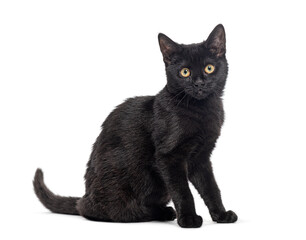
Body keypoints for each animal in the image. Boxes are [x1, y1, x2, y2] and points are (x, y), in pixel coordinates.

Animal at [34, 24, 238, 229]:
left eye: (209, 68)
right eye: (185, 72)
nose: (199, 83)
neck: (201, 110)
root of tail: (85, 196)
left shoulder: (201, 157)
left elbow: (211, 188)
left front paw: (221, 214)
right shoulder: (169, 156)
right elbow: (183, 191)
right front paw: (188, 218)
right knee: (109, 211)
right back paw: (163, 212)